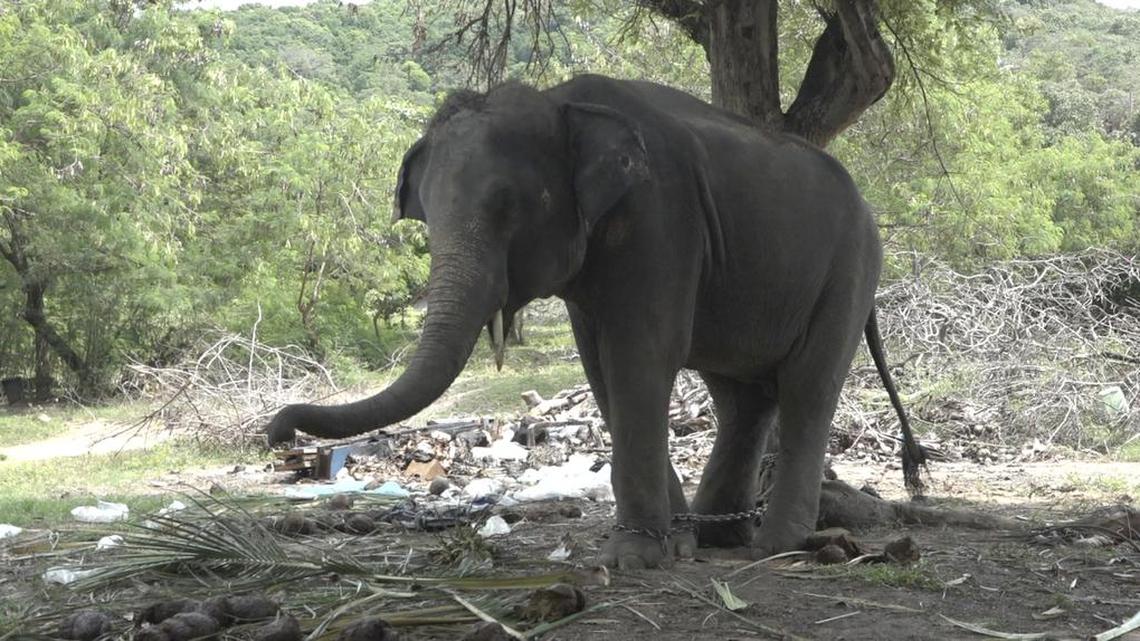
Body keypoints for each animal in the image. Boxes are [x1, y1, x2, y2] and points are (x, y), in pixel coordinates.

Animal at [266, 74, 925, 569]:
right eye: (424, 216)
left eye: (508, 206)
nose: (277, 432)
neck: (561, 102)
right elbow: (602, 369)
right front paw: (672, 544)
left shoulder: (662, 216)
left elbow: (641, 356)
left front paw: (632, 559)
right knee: (743, 396)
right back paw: (719, 536)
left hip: (850, 269)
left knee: (807, 386)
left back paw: (776, 546)